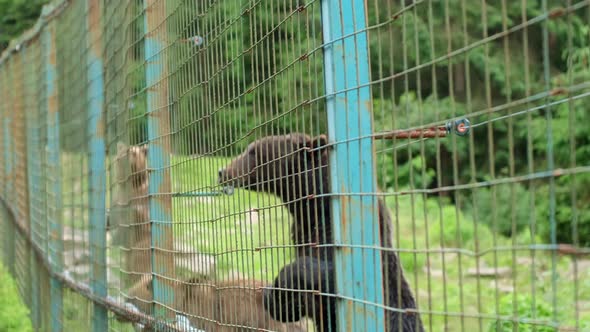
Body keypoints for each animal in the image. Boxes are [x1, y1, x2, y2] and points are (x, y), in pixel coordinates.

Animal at [220, 133, 424, 332]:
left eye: (253, 152)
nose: (222, 171)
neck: (314, 211)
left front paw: (283, 280)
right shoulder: (302, 234)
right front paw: (274, 296)